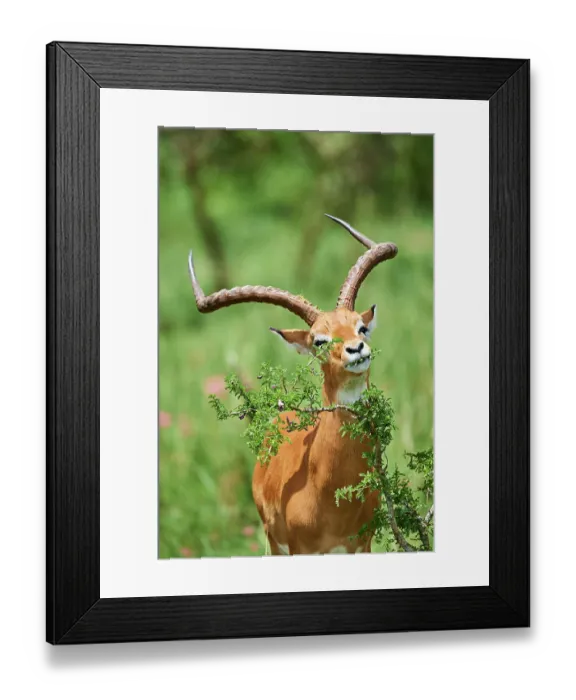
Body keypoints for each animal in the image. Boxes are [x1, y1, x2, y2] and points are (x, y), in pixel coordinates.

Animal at [188, 215, 398, 555]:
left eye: (361, 327)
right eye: (319, 340)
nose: (356, 349)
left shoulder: (361, 544)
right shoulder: (301, 549)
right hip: (274, 544)